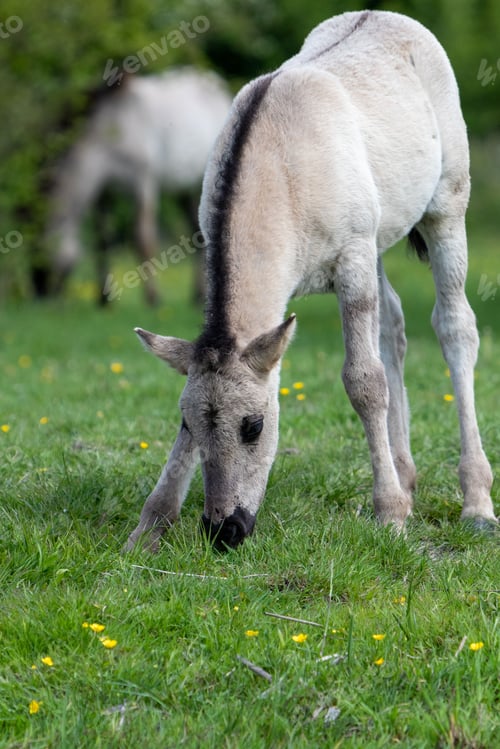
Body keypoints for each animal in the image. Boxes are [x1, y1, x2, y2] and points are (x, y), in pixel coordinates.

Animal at [35, 67, 232, 304]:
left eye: (39, 252)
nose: (40, 292)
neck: (111, 130)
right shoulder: (104, 194)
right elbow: (103, 242)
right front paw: (104, 300)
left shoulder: (143, 184)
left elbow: (142, 239)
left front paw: (153, 298)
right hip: (184, 189)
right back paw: (197, 294)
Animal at [127, 10, 496, 552]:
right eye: (186, 423)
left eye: (254, 426)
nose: (224, 529)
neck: (281, 175)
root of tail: (389, 17)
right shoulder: (359, 253)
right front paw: (150, 527)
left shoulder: (353, 259)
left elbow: (364, 381)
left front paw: (390, 514)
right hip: (381, 236)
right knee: (393, 326)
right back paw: (406, 475)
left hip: (446, 207)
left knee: (454, 326)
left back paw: (476, 502)